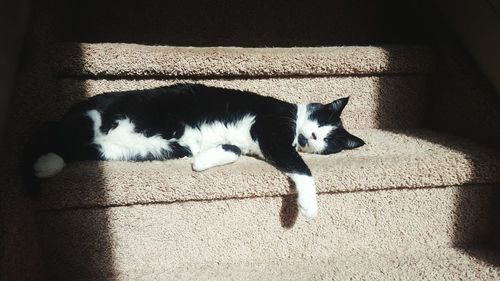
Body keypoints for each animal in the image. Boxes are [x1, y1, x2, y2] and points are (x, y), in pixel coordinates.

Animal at [22, 83, 364, 219]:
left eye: (329, 141)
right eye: (321, 123)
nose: (312, 137)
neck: (292, 122)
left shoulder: (253, 141)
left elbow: (232, 149)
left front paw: (200, 161)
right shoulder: (269, 130)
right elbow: (302, 167)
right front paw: (309, 206)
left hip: (115, 150)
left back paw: (48, 164)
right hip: (91, 119)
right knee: (50, 133)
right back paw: (42, 164)